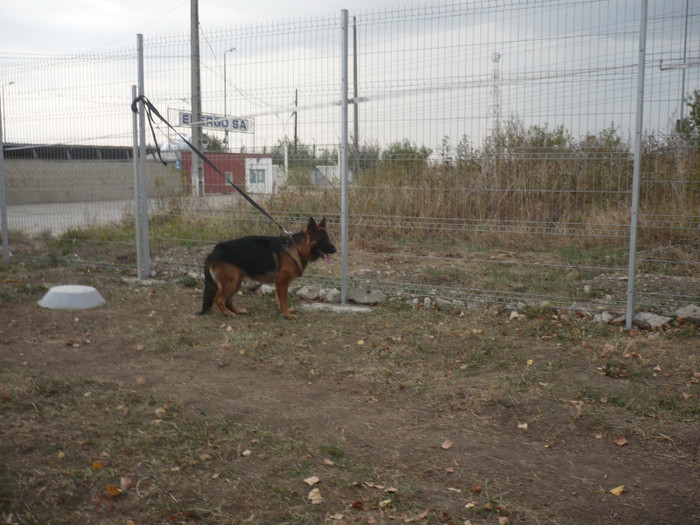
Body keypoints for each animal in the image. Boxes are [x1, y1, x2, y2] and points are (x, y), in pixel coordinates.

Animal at [198, 217, 338, 320]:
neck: (297, 248)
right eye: (321, 240)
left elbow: (280, 299)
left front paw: (284, 311)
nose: (335, 249)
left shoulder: (280, 283)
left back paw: (237, 311)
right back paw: (228, 313)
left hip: (236, 281)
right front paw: (287, 315)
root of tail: (213, 252)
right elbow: (284, 300)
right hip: (231, 282)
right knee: (219, 299)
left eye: (328, 238)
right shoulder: (282, 282)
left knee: (227, 300)